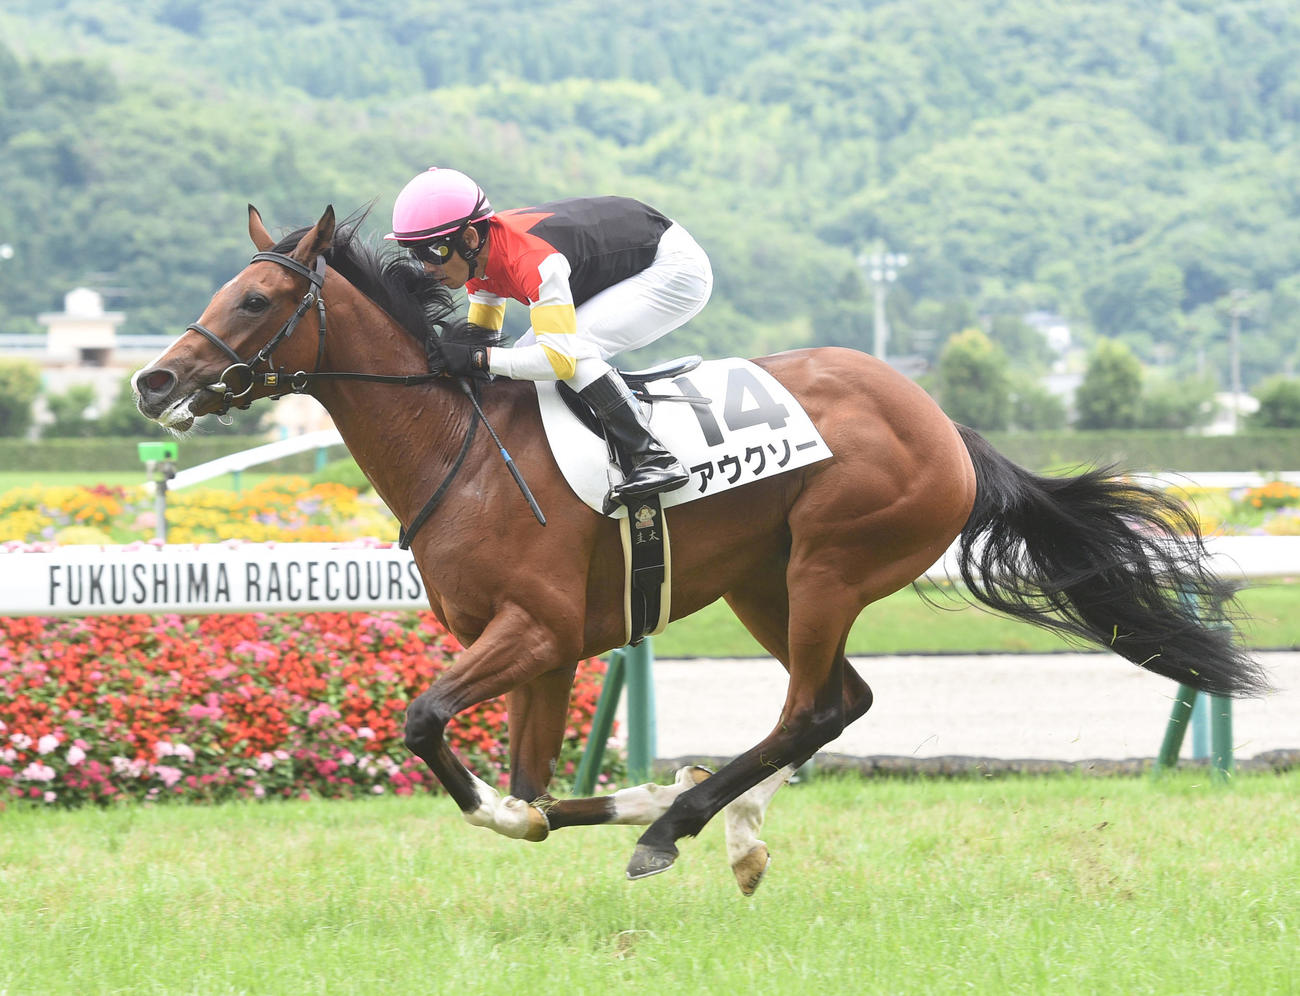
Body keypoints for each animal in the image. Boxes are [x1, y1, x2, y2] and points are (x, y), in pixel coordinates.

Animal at [134, 205, 1268, 894]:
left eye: (256, 299)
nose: (153, 381)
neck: (463, 445)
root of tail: (944, 423)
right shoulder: (544, 648)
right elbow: (532, 788)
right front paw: (616, 796)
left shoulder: (535, 628)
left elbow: (439, 737)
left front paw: (625, 804)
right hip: (766, 584)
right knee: (839, 703)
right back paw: (729, 820)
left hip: (828, 563)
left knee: (811, 708)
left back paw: (677, 825)